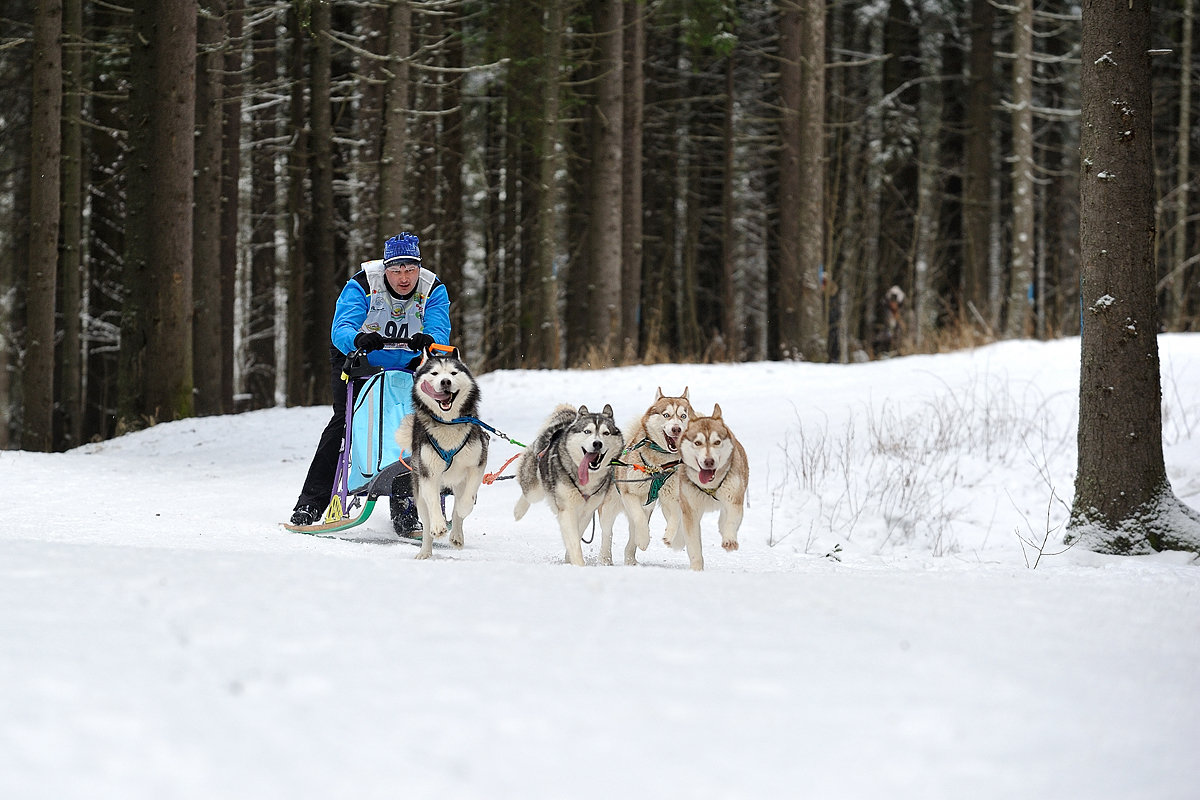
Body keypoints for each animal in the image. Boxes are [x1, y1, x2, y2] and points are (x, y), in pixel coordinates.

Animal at [393, 347, 487, 561]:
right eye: (435, 373)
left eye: (453, 373)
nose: (445, 382)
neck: (448, 423)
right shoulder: (429, 473)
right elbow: (435, 503)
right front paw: (438, 526)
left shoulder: (477, 465)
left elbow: (466, 501)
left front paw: (463, 510)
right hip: (418, 494)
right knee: (426, 521)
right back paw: (425, 550)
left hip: (459, 483)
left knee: (458, 508)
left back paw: (457, 535)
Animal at [516, 402, 628, 566]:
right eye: (587, 431)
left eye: (606, 433)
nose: (597, 443)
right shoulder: (567, 509)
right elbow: (574, 540)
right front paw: (579, 564)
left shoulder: (587, 511)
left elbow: (577, 533)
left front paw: (569, 558)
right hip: (534, 489)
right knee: (527, 492)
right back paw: (518, 511)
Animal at [600, 386, 696, 563]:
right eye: (666, 415)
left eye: (683, 416)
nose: (676, 429)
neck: (658, 465)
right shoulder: (629, 494)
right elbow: (639, 518)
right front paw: (644, 540)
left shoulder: (671, 498)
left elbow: (675, 517)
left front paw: (670, 537)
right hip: (609, 508)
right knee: (608, 533)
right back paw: (605, 558)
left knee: (632, 536)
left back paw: (631, 559)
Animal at [652, 407, 744, 568]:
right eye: (697, 442)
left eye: (717, 442)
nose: (709, 461)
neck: (710, 486)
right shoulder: (690, 510)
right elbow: (693, 544)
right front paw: (696, 569)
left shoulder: (733, 499)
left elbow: (732, 519)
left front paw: (729, 539)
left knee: (723, 521)